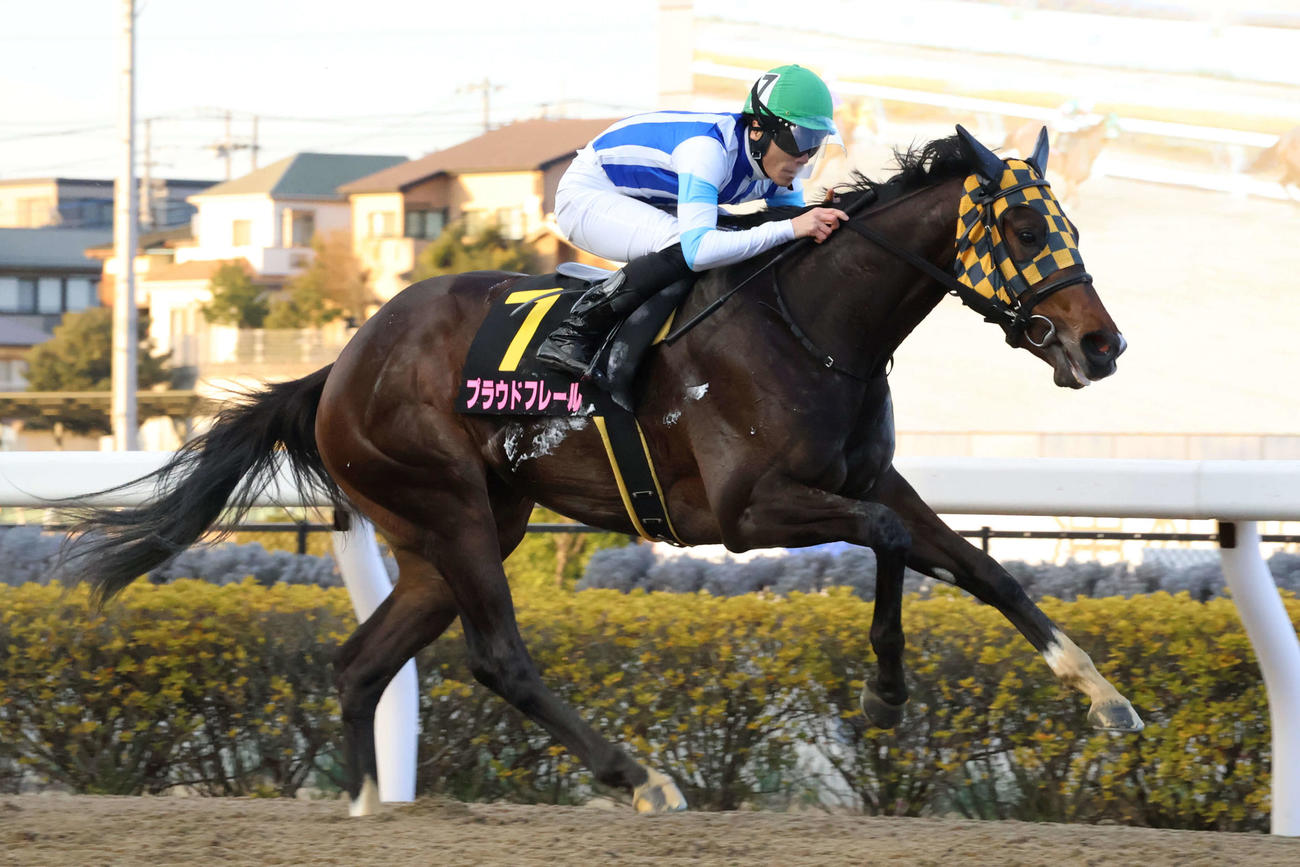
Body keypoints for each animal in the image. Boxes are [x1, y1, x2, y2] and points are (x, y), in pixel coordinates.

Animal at [62, 126, 1139, 817]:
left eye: (1073, 227)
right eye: (1025, 231)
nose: (1102, 345)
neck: (817, 327)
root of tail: (342, 364)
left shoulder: (874, 480)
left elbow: (983, 569)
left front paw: (1103, 695)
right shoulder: (749, 513)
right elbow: (883, 546)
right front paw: (883, 691)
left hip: (451, 535)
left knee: (362, 660)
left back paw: (370, 803)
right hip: (451, 510)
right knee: (498, 657)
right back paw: (641, 779)